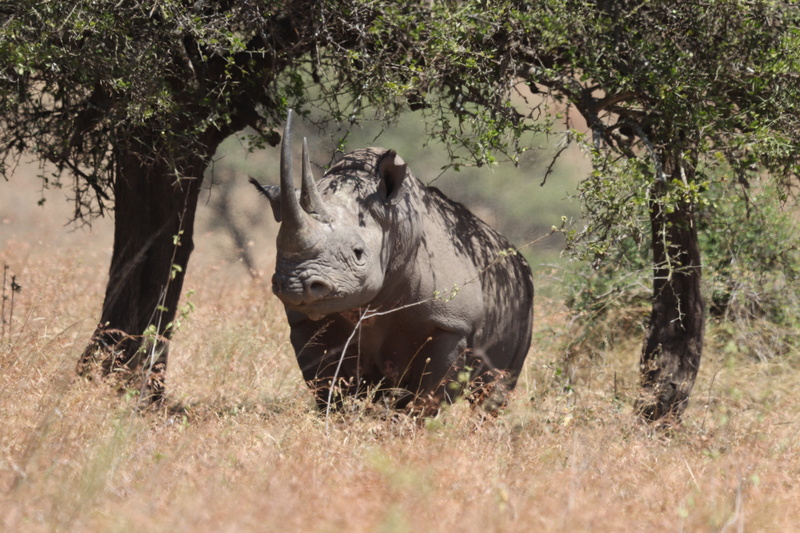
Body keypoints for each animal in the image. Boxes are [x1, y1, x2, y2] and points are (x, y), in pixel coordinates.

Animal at [250, 110, 533, 413]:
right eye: (278, 250)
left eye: (358, 253)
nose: (296, 287)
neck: (395, 225)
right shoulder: (305, 322)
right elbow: (327, 385)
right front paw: (337, 415)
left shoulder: (452, 323)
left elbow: (430, 392)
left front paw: (415, 423)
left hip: (522, 296)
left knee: (494, 391)